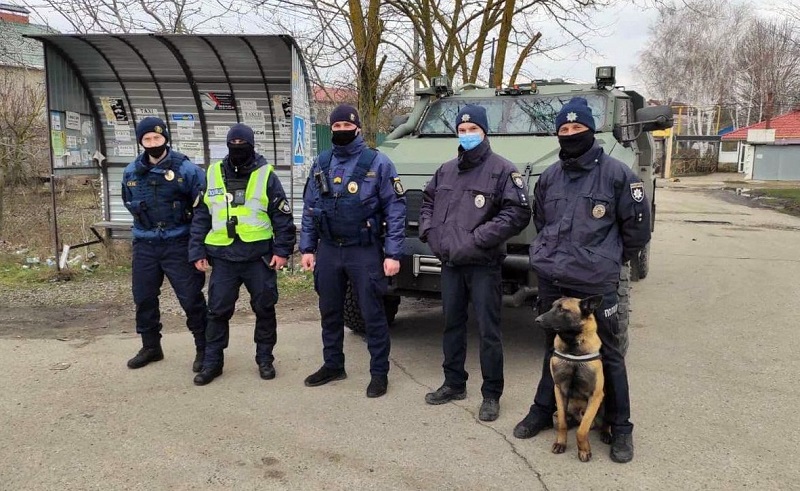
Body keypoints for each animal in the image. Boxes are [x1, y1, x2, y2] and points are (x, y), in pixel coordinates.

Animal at [536, 296, 608, 466]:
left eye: (563, 309)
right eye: (552, 307)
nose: (537, 320)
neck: (573, 349)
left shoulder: (595, 395)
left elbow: (582, 430)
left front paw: (584, 450)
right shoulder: (559, 389)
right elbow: (562, 423)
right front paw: (561, 443)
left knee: (602, 422)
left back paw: (606, 433)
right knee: (567, 418)